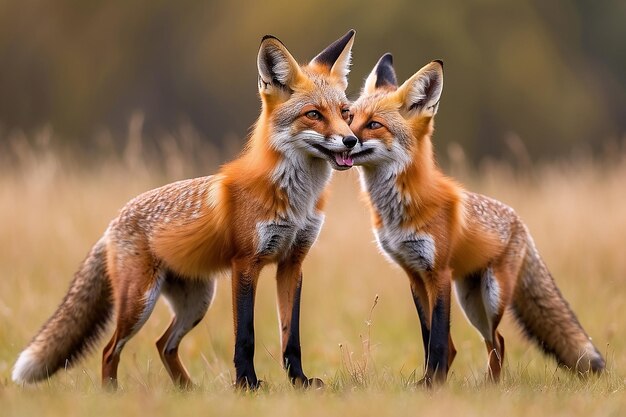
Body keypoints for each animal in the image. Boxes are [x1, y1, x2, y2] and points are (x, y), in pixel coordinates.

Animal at [12, 30, 358, 390]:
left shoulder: (292, 263)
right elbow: (245, 335)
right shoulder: (246, 263)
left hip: (197, 301)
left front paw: (299, 382)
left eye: (345, 112)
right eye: (314, 114)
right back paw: (112, 394)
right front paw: (246, 385)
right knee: (110, 349)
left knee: (163, 344)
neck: (296, 199)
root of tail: (115, 220)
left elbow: (291, 336)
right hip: (139, 303)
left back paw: (187, 391)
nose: (351, 141)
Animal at [348, 54, 604, 384]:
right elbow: (430, 337)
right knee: (490, 343)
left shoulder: (438, 273)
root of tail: (520, 223)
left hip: (491, 297)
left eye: (374, 125)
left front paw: (433, 386)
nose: (345, 139)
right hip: (471, 301)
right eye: (348, 116)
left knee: (498, 342)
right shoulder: (414, 274)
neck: (401, 208)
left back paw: (491, 387)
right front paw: (429, 382)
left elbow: (439, 340)